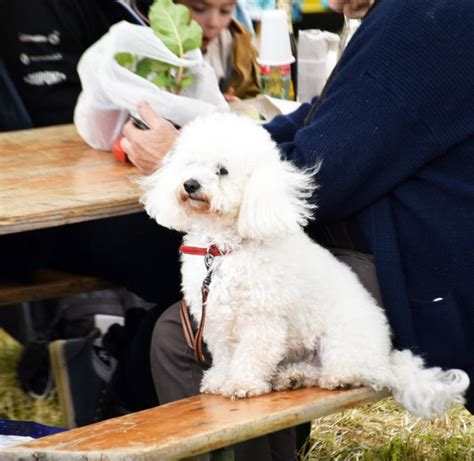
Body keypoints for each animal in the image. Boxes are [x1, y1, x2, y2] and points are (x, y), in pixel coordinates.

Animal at [139, 112, 468, 416]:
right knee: (313, 370)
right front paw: (219, 379)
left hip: (342, 338)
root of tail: (387, 357)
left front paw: (242, 384)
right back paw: (293, 377)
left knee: (355, 369)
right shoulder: (216, 319)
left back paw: (339, 377)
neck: (221, 248)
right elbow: (223, 354)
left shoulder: (261, 319)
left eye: (222, 170)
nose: (190, 184)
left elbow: (250, 355)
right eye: (190, 164)